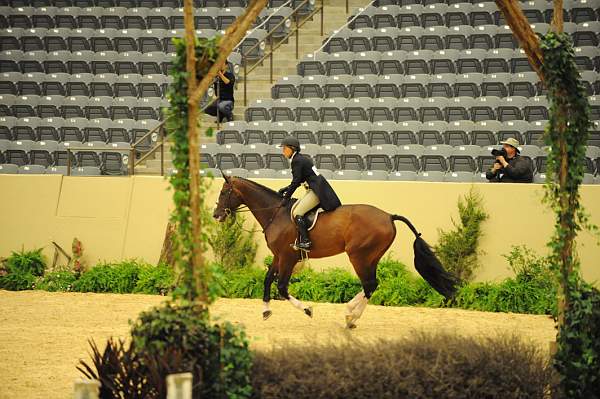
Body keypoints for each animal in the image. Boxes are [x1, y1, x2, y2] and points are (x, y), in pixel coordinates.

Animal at [212, 176, 460, 328]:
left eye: (224, 192)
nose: (216, 215)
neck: (276, 213)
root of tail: (389, 216)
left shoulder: (288, 257)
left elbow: (281, 287)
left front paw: (307, 310)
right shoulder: (279, 255)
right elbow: (266, 280)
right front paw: (265, 311)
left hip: (358, 255)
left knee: (370, 284)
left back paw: (350, 317)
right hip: (371, 256)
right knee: (372, 284)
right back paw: (350, 313)